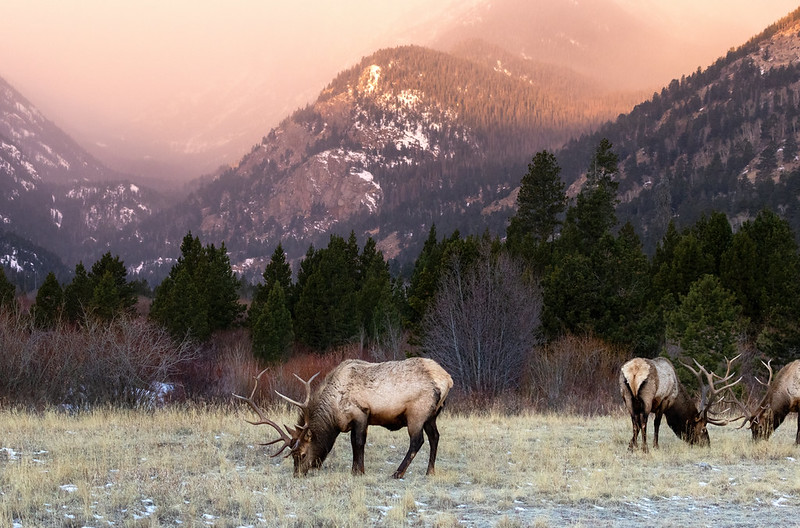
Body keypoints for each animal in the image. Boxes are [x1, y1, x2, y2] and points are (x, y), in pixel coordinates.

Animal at [234, 357, 453, 478]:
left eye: (301, 455)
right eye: (292, 457)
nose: (297, 474)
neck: (333, 413)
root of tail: (447, 380)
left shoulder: (360, 413)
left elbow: (358, 442)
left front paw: (358, 471)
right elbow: (354, 444)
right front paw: (356, 469)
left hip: (417, 413)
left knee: (417, 441)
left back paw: (397, 473)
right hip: (432, 415)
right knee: (435, 437)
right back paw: (430, 471)